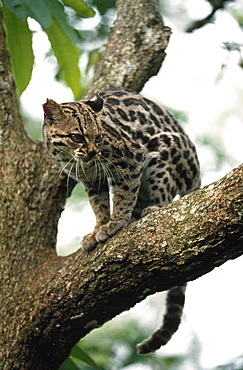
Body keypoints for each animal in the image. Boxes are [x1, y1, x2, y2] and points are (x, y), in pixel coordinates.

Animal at [42, 88, 200, 354]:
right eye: (77, 136)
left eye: (100, 136)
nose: (93, 152)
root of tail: (198, 175)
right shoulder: (90, 178)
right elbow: (98, 204)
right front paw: (99, 227)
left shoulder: (132, 159)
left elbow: (124, 196)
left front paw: (115, 223)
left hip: (163, 147)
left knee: (166, 198)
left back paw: (153, 209)